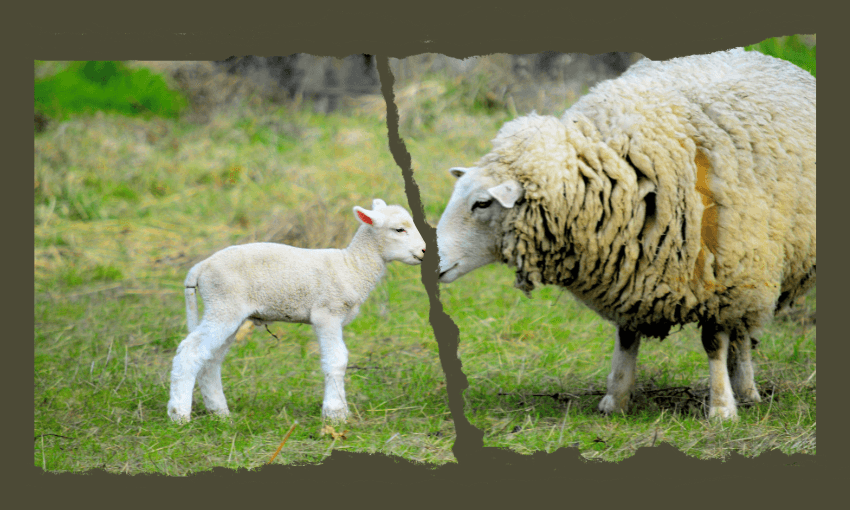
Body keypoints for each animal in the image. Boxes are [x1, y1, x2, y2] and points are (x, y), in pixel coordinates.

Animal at [168, 199, 427, 423]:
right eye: (399, 230)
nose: (424, 251)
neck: (352, 266)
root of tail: (201, 267)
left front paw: (339, 411)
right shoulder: (327, 313)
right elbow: (337, 359)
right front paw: (335, 413)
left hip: (227, 310)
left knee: (210, 359)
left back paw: (220, 413)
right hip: (224, 304)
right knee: (190, 351)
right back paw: (179, 415)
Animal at [435, 49, 815, 420]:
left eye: (482, 203)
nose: (434, 261)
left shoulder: (721, 278)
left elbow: (714, 343)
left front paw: (721, 408)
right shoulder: (629, 272)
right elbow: (626, 337)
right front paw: (615, 399)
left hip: (754, 266)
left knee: (740, 335)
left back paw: (745, 391)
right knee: (743, 333)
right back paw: (748, 392)